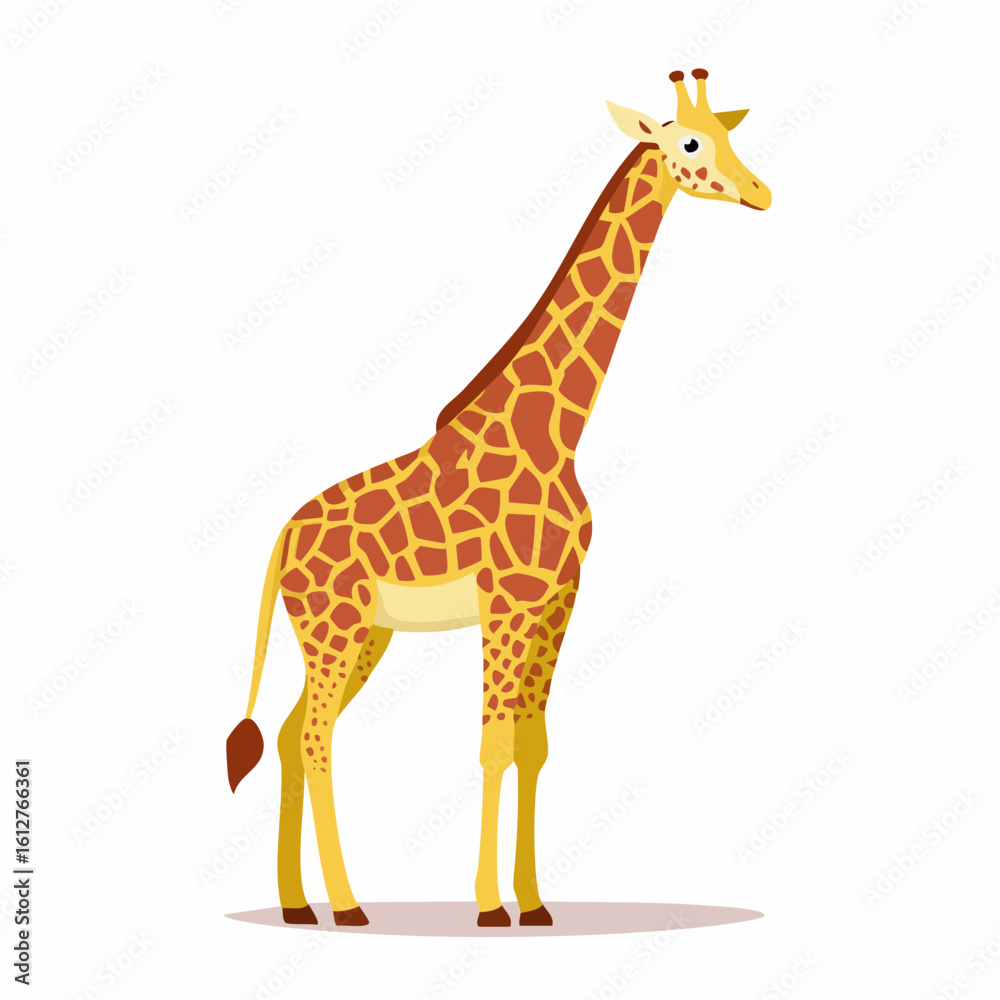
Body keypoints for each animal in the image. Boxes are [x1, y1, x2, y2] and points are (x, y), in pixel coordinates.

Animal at [226, 69, 770, 929]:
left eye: (728, 132)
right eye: (689, 141)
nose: (760, 192)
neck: (557, 432)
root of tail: (282, 535)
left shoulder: (556, 600)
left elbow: (533, 744)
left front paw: (535, 904)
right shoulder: (508, 602)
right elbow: (492, 745)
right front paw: (488, 908)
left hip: (362, 635)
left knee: (286, 734)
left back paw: (297, 905)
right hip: (333, 627)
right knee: (314, 738)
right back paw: (347, 905)